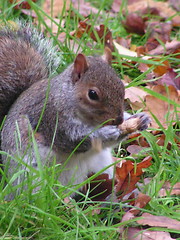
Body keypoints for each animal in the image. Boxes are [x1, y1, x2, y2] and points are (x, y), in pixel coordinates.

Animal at [0, 20, 150, 198]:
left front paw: (140, 119)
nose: (118, 120)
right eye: (92, 94)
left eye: (121, 86)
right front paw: (105, 133)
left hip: (101, 167)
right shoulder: (53, 119)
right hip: (29, 172)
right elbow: (75, 141)